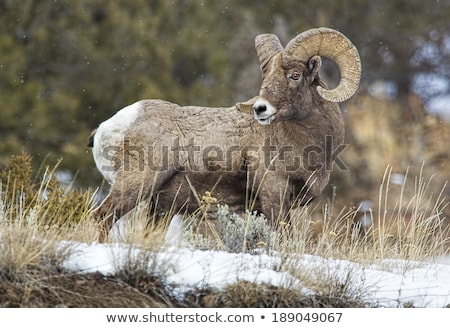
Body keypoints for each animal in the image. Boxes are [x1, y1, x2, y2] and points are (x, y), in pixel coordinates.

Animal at [89, 26, 362, 240]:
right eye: (267, 76)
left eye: (295, 75)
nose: (260, 109)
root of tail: (109, 127)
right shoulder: (274, 195)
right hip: (135, 185)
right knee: (101, 217)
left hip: (161, 208)